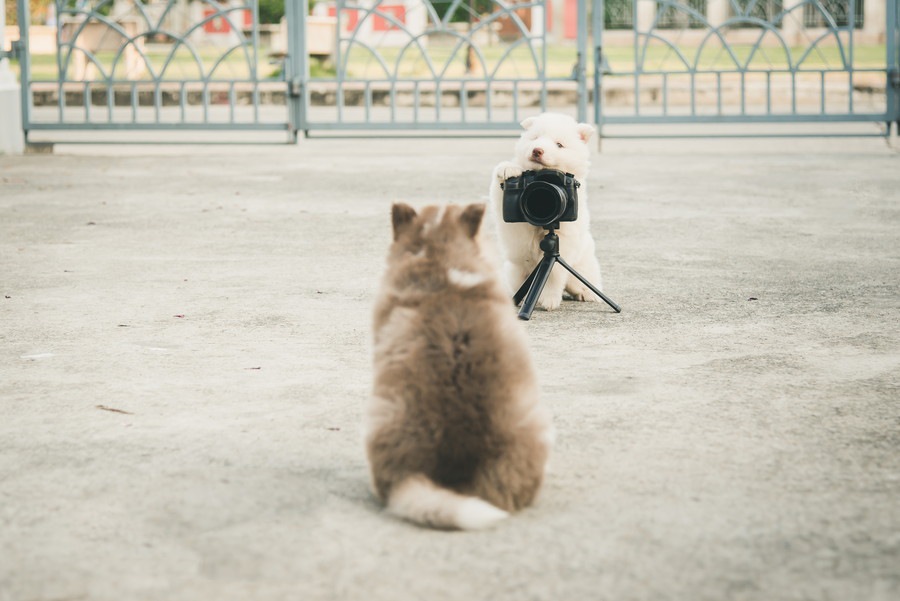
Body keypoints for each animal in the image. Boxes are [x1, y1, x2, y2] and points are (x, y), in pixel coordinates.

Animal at [488, 111, 600, 314]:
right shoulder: (513, 221)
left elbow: (553, 271)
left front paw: (548, 299)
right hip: (515, 270)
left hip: (583, 264)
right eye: (535, 138)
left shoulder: (566, 236)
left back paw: (587, 293)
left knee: (582, 280)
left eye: (559, 144)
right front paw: (507, 168)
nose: (537, 150)